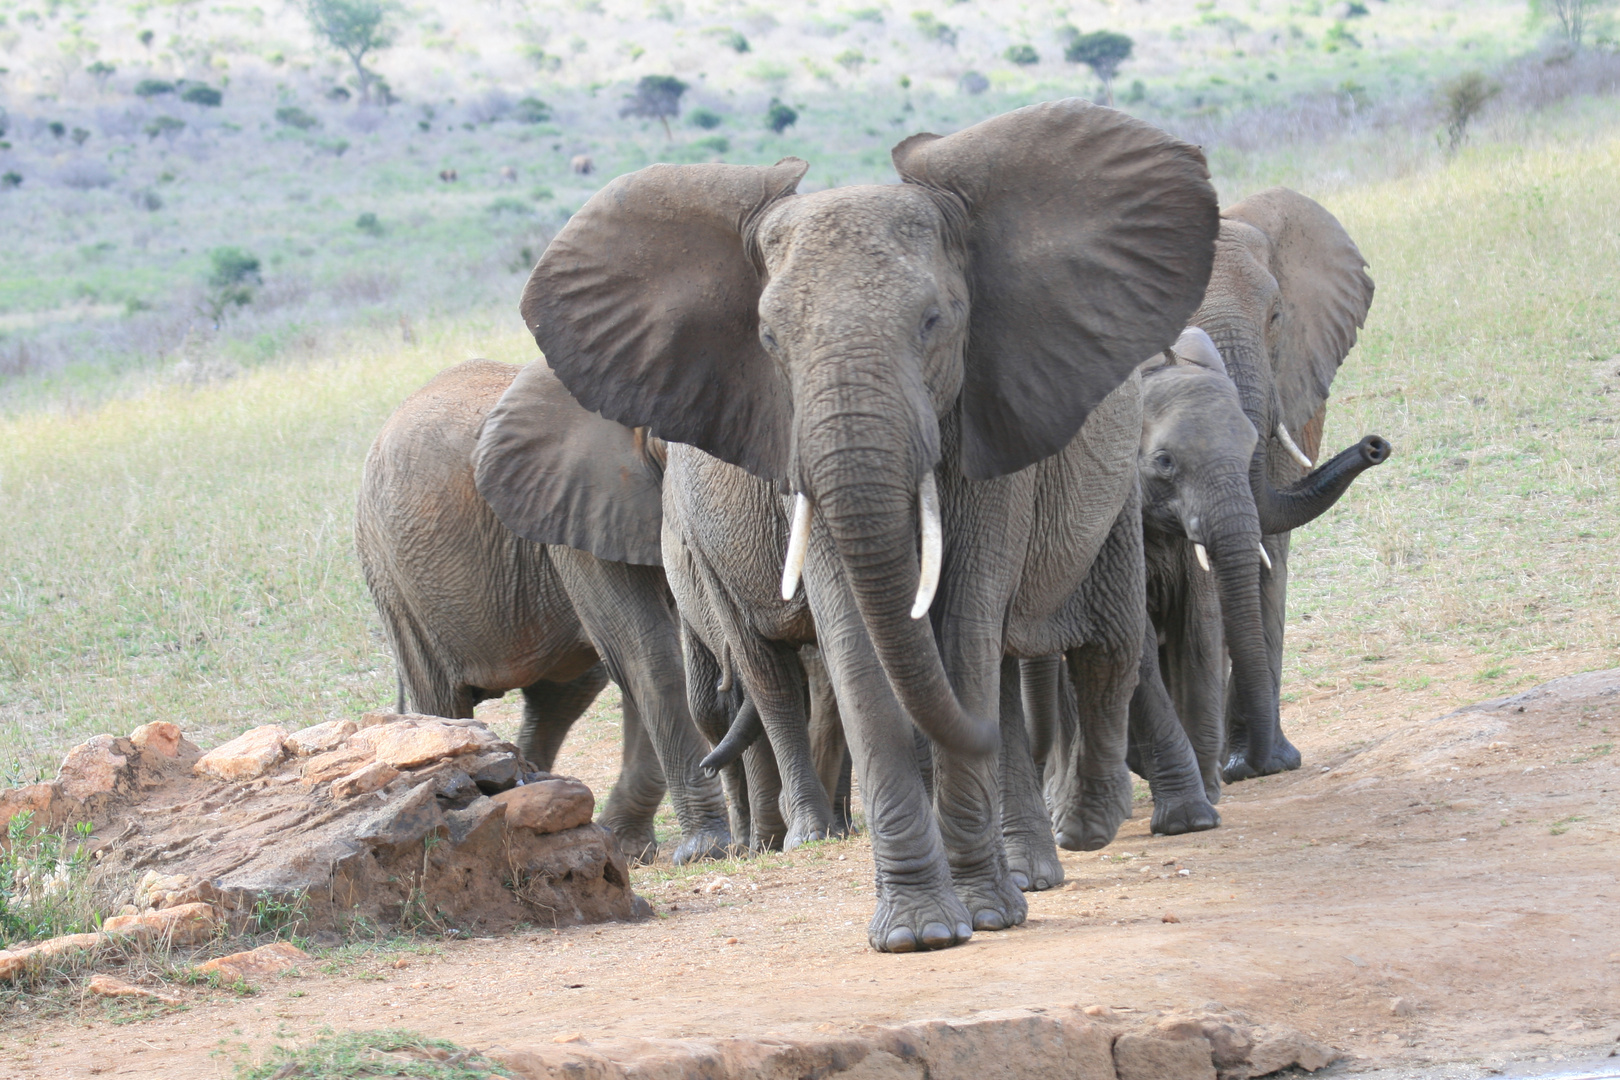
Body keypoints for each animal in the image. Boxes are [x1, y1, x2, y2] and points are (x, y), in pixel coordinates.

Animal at [362, 359, 735, 867]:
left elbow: (639, 659)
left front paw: (626, 845)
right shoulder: (583, 508)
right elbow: (645, 654)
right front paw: (707, 849)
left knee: (564, 694)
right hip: (396, 577)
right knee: (443, 700)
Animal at [511, 97, 1218, 952]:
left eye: (935, 321)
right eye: (769, 339)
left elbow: (965, 622)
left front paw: (978, 915)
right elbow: (858, 644)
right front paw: (918, 933)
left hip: (1108, 488)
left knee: (1093, 647)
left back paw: (1066, 845)